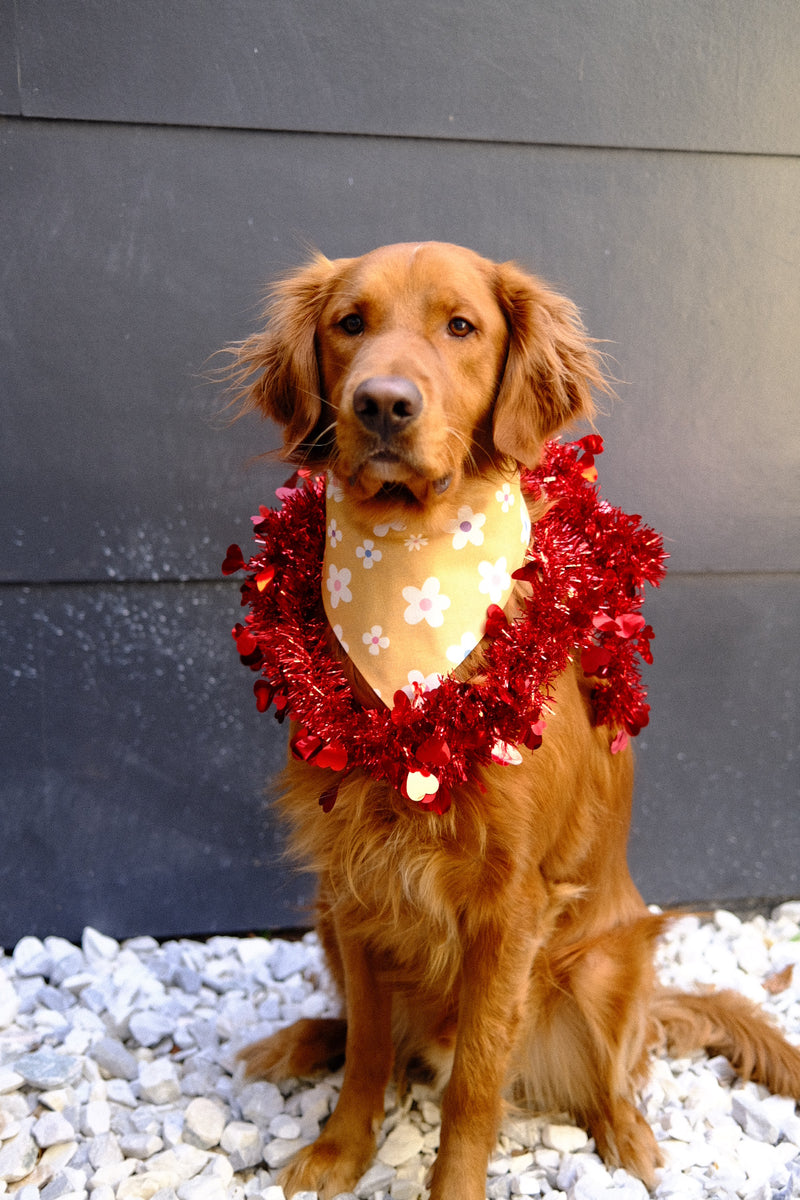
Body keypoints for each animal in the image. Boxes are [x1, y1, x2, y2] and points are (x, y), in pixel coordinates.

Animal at [225, 243, 800, 1200]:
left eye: (462, 326)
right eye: (350, 323)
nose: (382, 403)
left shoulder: (508, 906)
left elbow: (478, 1080)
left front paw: (453, 1184)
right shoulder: (356, 879)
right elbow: (370, 1050)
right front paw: (339, 1153)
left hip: (605, 964)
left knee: (615, 1070)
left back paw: (630, 1140)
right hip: (324, 918)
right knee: (366, 1033)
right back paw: (297, 1041)